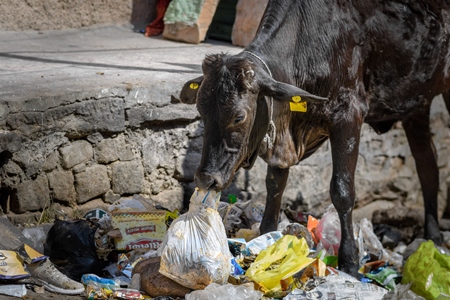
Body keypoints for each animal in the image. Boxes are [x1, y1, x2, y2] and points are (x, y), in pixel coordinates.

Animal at [179, 0, 450, 276]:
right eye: (200, 109)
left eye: (239, 117)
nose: (205, 178)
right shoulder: (282, 141)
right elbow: (275, 186)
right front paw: (269, 240)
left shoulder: (349, 115)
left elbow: (342, 191)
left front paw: (349, 262)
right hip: (416, 104)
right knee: (427, 165)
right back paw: (434, 238)